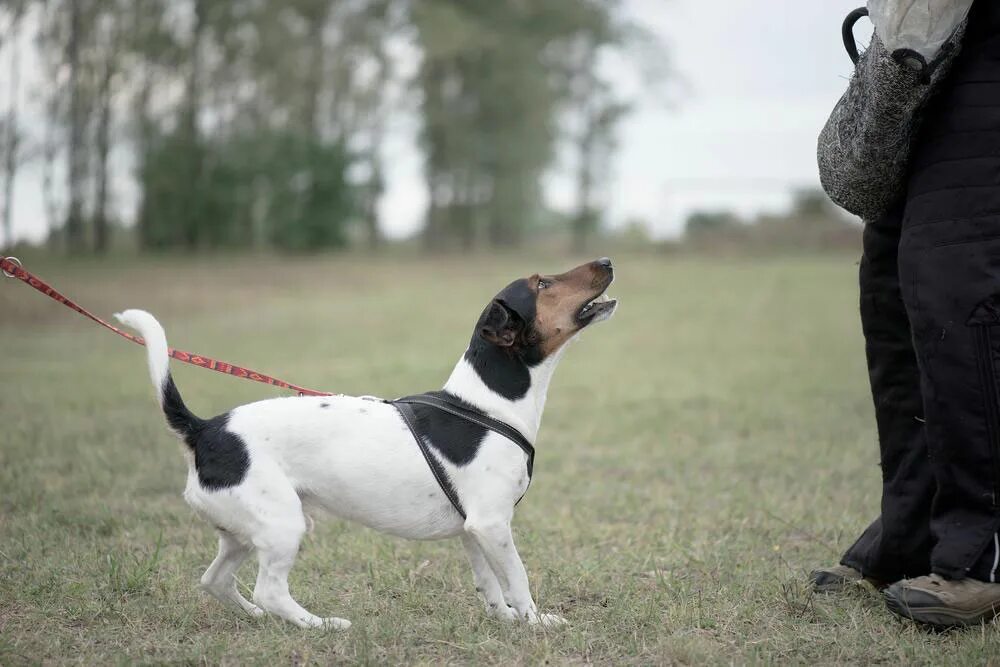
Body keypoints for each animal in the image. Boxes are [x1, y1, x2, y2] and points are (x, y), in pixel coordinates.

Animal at [117, 258, 616, 628]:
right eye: (543, 283)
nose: (607, 261)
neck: (486, 405)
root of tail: (203, 429)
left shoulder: (474, 529)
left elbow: (491, 585)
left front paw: (507, 621)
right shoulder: (493, 524)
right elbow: (518, 578)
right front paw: (534, 623)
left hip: (241, 531)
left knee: (215, 580)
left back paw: (257, 616)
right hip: (283, 526)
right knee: (270, 589)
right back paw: (320, 625)